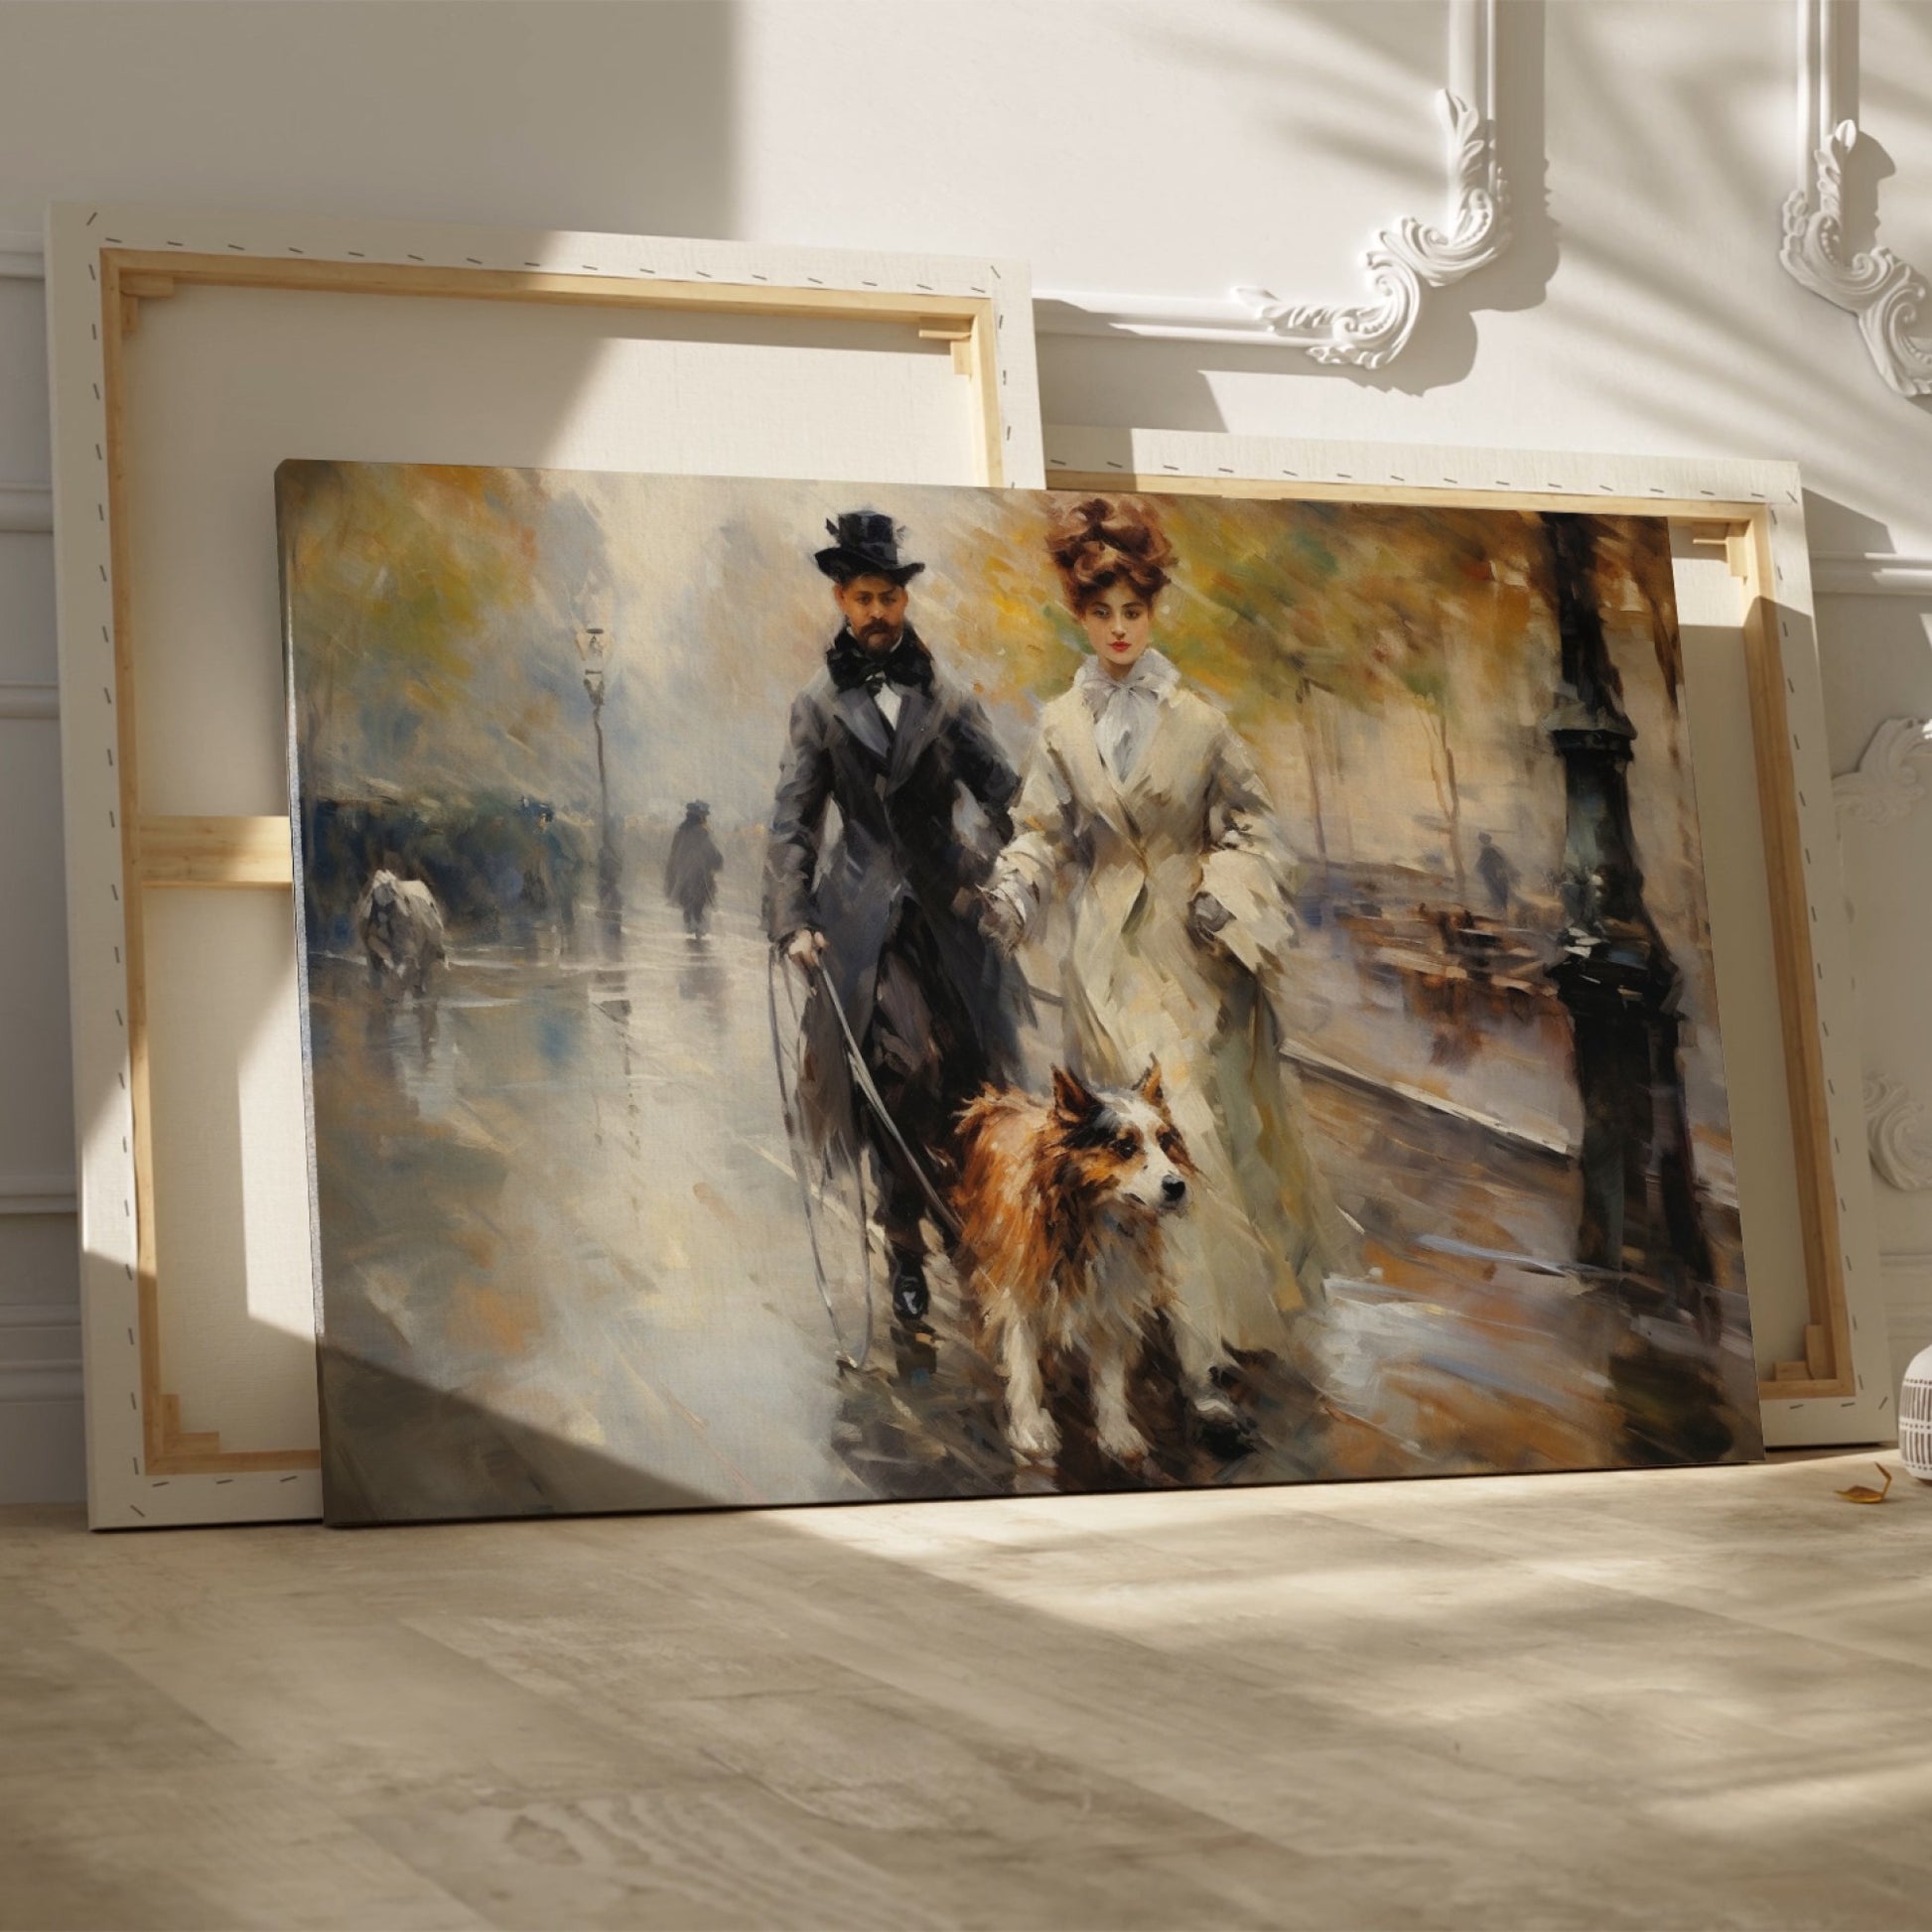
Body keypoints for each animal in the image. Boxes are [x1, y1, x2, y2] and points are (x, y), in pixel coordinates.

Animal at [954, 1066, 1228, 1467]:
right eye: (1125, 1147)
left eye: (1165, 1142)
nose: (1177, 1187)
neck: (1091, 1219)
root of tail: (1001, 1101)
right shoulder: (1018, 1292)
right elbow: (1023, 1365)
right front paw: (1030, 1427)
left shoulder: (1113, 1294)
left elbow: (1110, 1375)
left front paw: (1116, 1432)